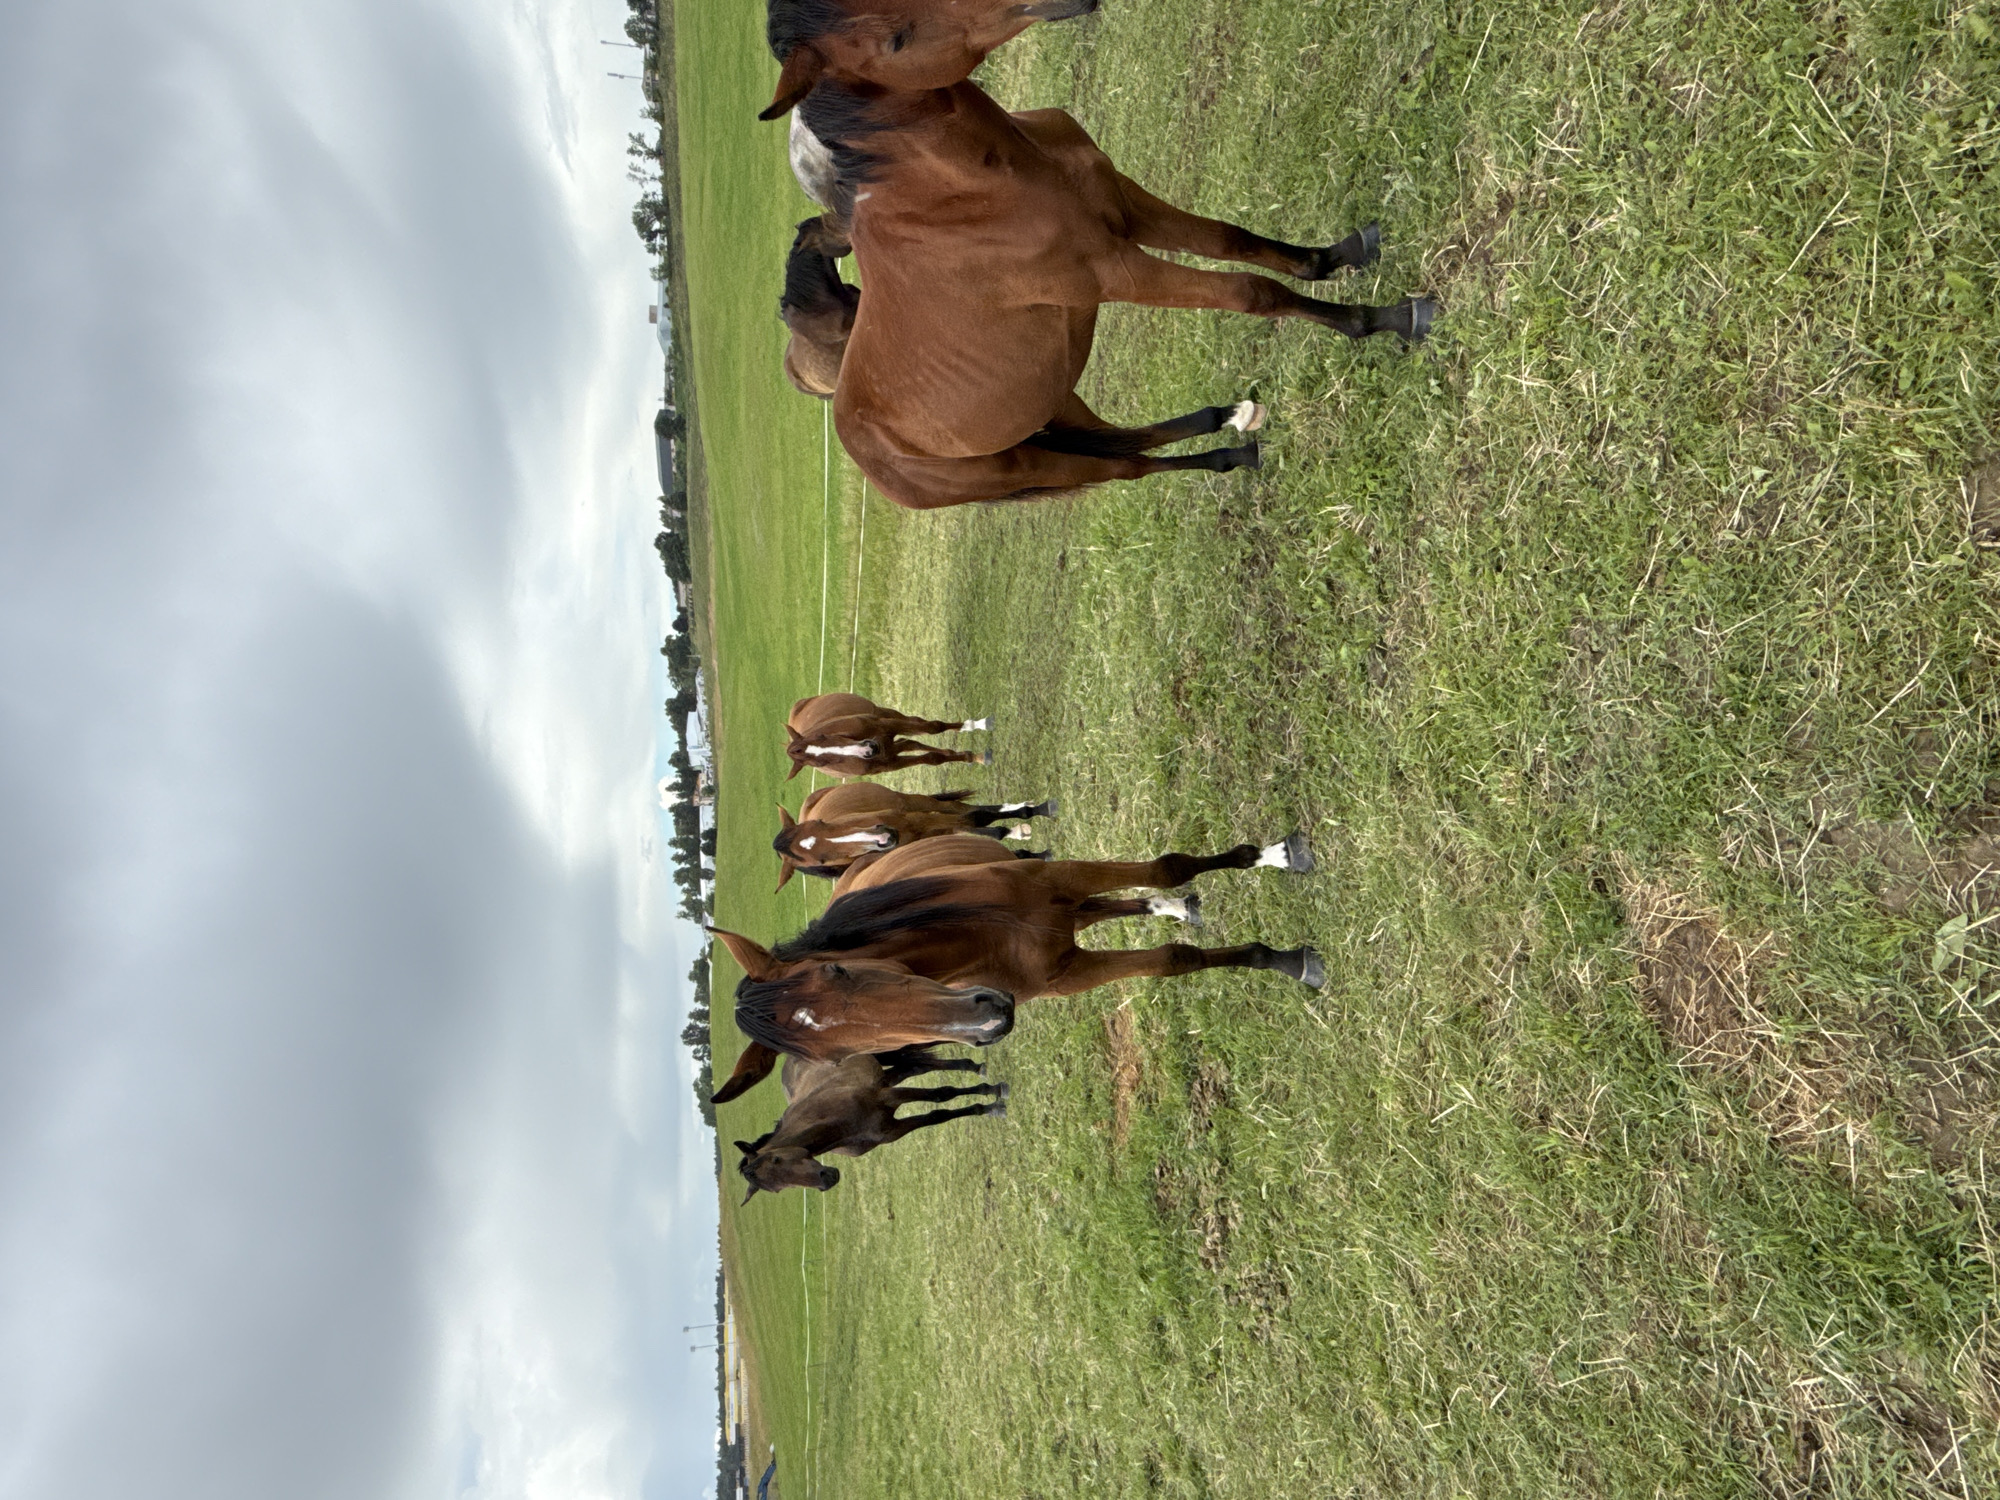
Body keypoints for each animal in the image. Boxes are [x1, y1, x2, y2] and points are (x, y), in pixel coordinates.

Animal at [710, 831, 1323, 1091]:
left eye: (835, 969)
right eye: (839, 1056)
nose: (986, 1019)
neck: (983, 939)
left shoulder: (1061, 879)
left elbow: (1169, 867)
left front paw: (1279, 860)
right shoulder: (1069, 973)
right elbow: (1175, 959)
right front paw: (1283, 958)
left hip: (1067, 904)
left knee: (1119, 900)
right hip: (1072, 928)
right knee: (1105, 911)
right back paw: (1177, 909)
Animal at [726, 1046, 1006, 1201]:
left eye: (776, 1159)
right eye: (777, 1189)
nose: (826, 1179)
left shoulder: (888, 1097)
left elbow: (942, 1094)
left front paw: (993, 1095)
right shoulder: (891, 1130)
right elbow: (938, 1115)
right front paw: (988, 1105)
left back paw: (976, 1067)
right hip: (885, 1076)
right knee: (917, 1067)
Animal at [774, 783, 1057, 888]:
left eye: (821, 822)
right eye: (821, 861)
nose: (884, 839)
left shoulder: (924, 818)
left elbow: (979, 818)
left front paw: (1037, 812)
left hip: (916, 803)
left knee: (966, 810)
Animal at [782, 80, 1433, 509]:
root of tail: (867, 451)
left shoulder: (1129, 208)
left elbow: (1237, 241)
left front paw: (1343, 254)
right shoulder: (1120, 270)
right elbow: (1253, 292)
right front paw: (1386, 318)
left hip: (1055, 406)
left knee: (1130, 440)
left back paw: (1231, 431)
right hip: (1027, 462)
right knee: (1126, 466)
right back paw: (1230, 450)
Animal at [785, 692, 992, 780]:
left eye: (822, 736)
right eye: (821, 764)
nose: (868, 749)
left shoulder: (887, 724)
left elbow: (934, 727)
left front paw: (974, 732)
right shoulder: (890, 763)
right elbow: (933, 758)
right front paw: (971, 756)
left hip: (885, 713)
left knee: (915, 729)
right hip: (890, 746)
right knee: (909, 742)